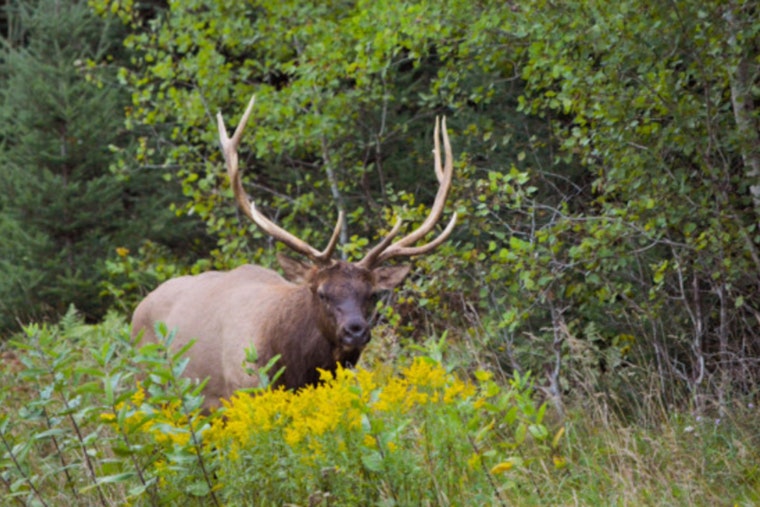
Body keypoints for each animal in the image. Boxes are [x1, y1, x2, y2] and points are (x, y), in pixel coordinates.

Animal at [131, 95, 456, 410]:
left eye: (372, 294)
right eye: (322, 293)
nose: (355, 331)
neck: (297, 367)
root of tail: (138, 309)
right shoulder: (241, 390)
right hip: (148, 386)